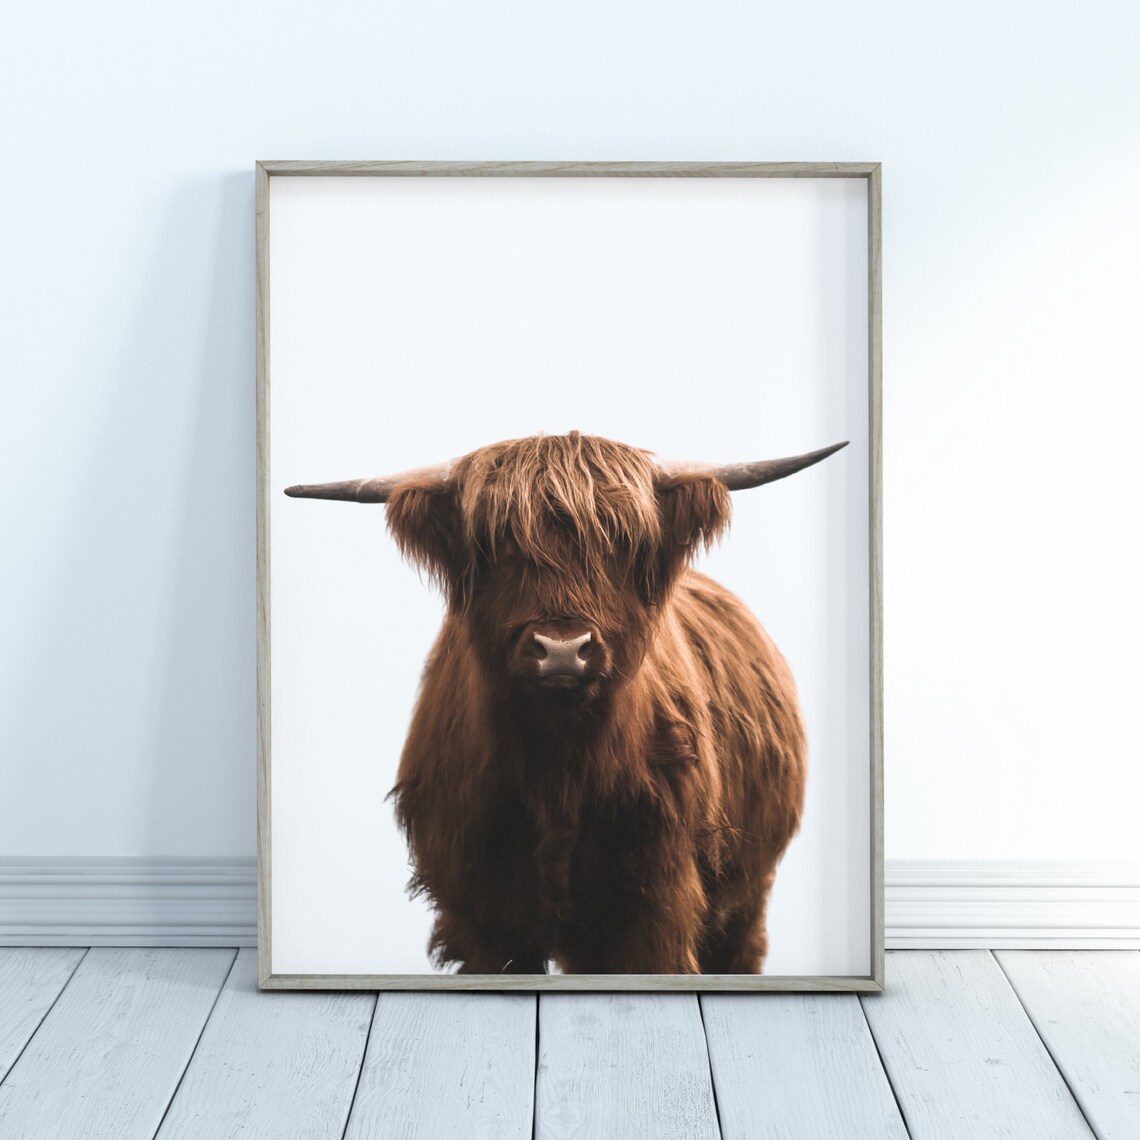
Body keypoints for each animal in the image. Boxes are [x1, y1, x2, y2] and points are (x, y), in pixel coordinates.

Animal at [285, 430, 846, 975]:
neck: (558, 768)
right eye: (500, 543)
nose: (561, 649)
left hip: (747, 896)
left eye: (620, 542)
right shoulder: (481, 916)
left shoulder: (655, 904)